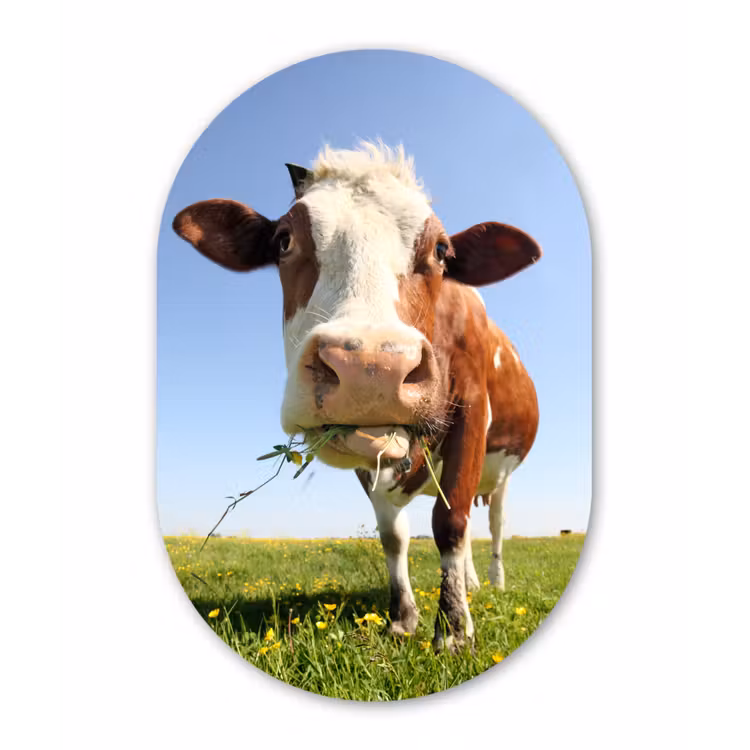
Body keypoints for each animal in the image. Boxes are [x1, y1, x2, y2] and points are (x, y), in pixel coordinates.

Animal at [172, 142, 541, 651]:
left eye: (441, 251)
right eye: (283, 240)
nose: (371, 368)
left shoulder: (470, 410)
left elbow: (450, 524)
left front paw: (452, 631)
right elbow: (393, 535)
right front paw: (404, 618)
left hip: (501, 473)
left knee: (491, 524)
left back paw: (491, 584)